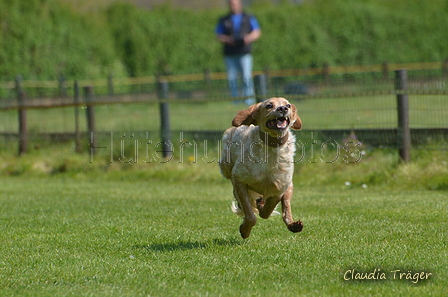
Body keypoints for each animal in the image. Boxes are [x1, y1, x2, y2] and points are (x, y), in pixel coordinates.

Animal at [219, 97, 302, 238]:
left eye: (288, 105)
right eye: (269, 106)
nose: (283, 108)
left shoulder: (281, 186)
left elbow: (270, 208)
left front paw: (262, 205)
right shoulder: (239, 179)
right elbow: (250, 214)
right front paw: (245, 230)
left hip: (289, 185)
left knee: (286, 207)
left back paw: (292, 224)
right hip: (226, 166)